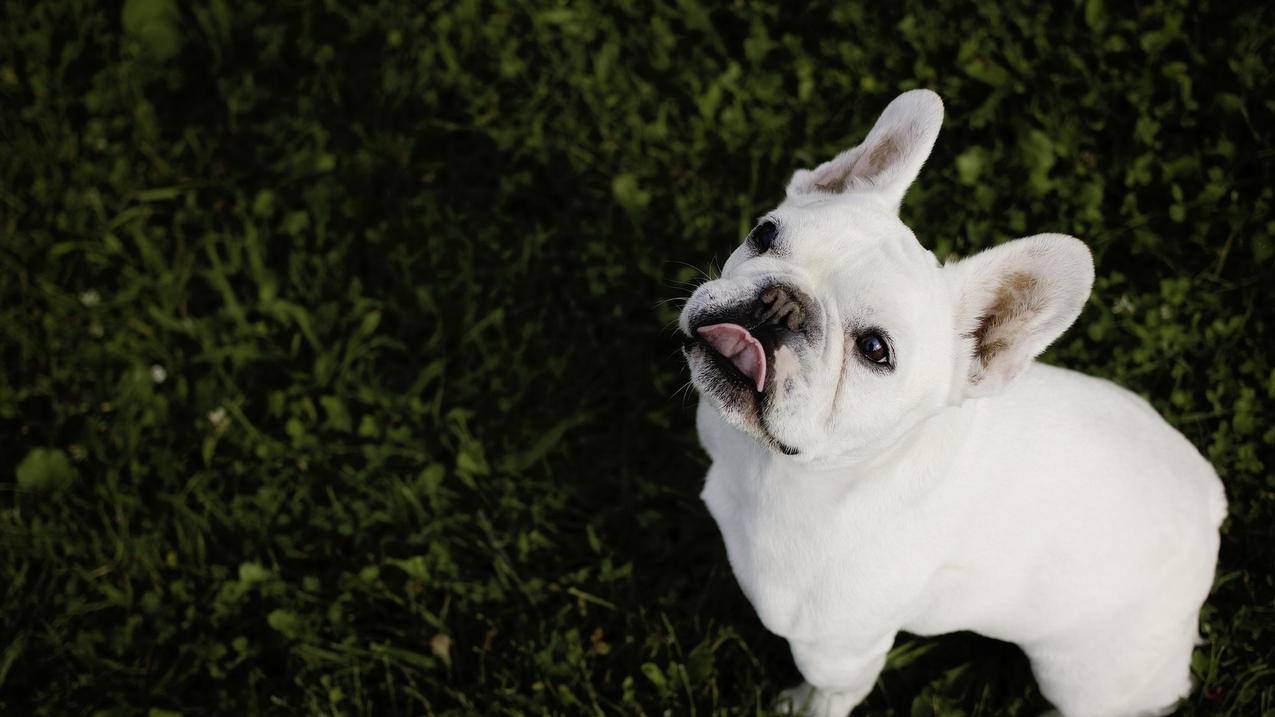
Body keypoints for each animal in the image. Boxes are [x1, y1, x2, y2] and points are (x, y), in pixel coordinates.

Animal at [683, 90, 1229, 714]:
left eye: (875, 350)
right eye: (764, 234)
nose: (781, 303)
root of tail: (1210, 506)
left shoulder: (839, 650)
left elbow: (829, 694)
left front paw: (803, 703)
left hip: (1084, 675)